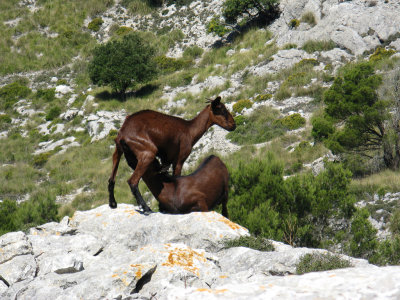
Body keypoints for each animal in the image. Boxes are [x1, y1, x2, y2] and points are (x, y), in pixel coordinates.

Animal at [108, 95, 236, 211]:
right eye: (222, 110)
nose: (233, 125)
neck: (189, 130)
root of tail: (123, 133)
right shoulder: (179, 160)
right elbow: (176, 178)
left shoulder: (166, 161)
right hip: (147, 153)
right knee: (132, 181)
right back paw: (146, 208)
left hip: (118, 152)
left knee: (111, 179)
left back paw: (113, 204)